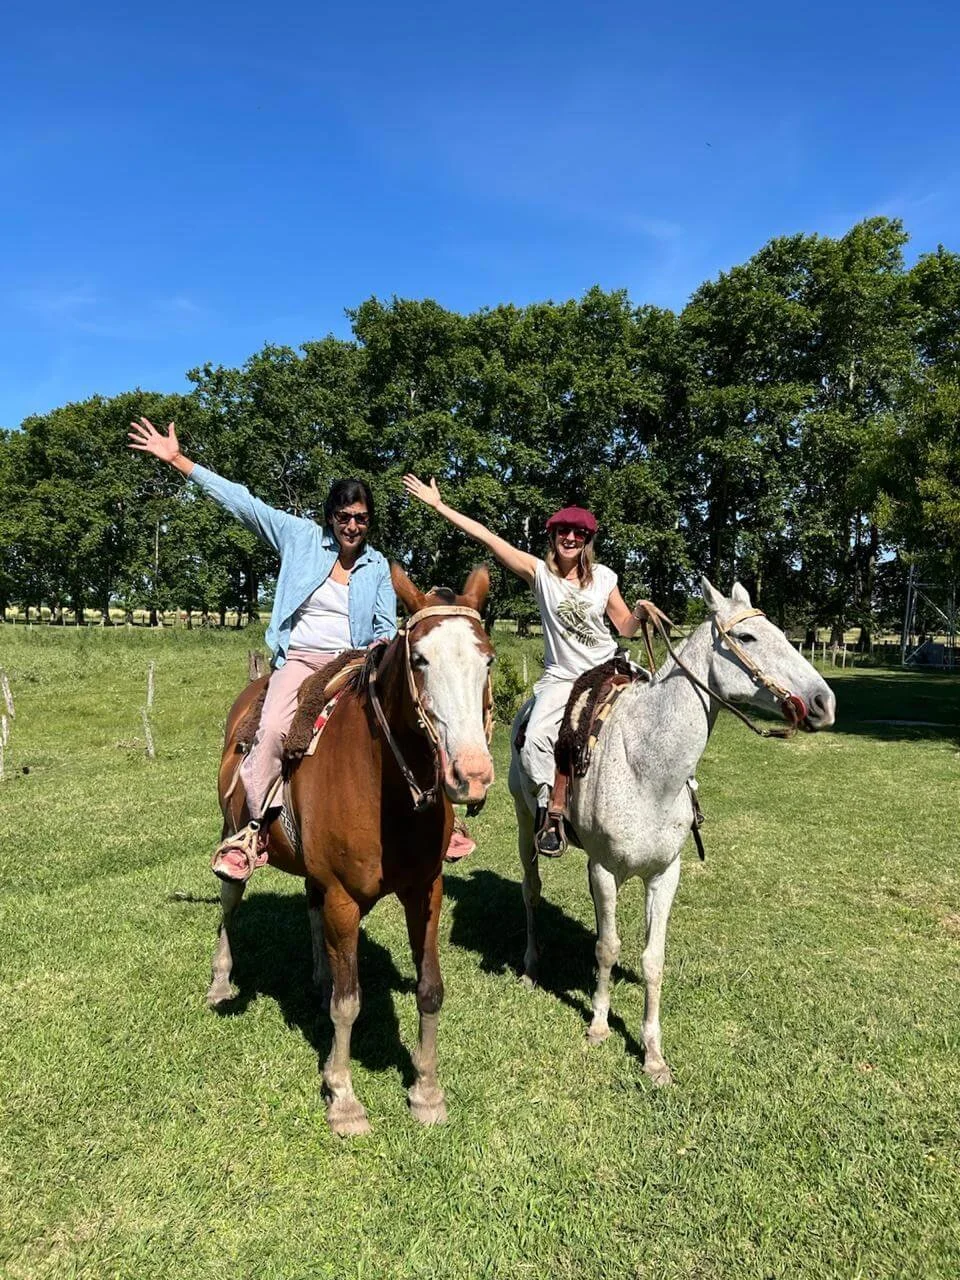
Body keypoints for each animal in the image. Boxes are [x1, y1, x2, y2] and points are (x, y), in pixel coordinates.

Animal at [207, 564, 495, 1135]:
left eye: (488, 659)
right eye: (420, 659)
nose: (470, 776)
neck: (389, 791)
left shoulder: (425, 892)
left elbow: (430, 989)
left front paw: (426, 1092)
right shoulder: (345, 898)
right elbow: (348, 1003)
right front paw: (342, 1098)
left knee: (311, 907)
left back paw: (318, 975)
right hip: (235, 835)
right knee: (230, 903)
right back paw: (221, 982)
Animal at [508, 577, 836, 1086]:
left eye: (781, 634)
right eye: (746, 638)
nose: (824, 702)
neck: (647, 764)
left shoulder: (665, 875)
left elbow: (651, 959)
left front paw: (652, 1055)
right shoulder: (603, 870)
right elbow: (607, 948)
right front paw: (599, 1026)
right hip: (526, 824)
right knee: (531, 889)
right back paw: (530, 965)